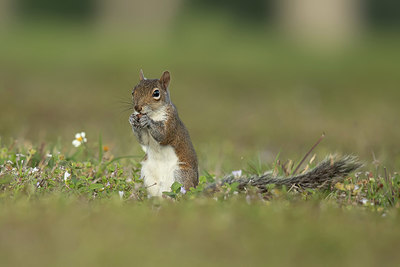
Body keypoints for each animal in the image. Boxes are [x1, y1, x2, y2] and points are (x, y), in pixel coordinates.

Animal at [130, 70, 360, 197]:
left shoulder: (172, 124)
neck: (156, 113)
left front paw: (147, 122)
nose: (137, 108)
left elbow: (163, 135)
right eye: (133, 91)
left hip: (180, 176)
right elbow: (143, 140)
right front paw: (133, 121)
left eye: (156, 94)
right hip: (148, 175)